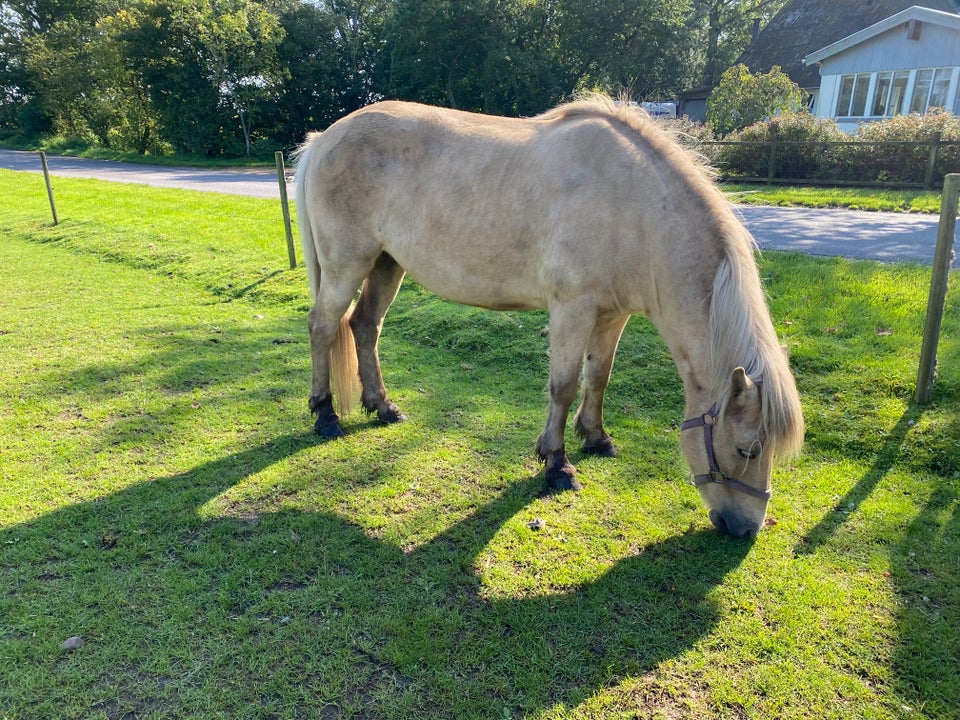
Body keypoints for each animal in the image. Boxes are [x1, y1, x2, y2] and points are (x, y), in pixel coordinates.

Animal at [296, 95, 808, 536]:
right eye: (746, 449)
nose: (746, 529)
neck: (633, 208)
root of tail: (324, 138)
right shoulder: (572, 309)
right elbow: (562, 386)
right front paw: (557, 464)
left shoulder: (611, 315)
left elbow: (598, 376)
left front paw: (596, 437)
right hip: (347, 265)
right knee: (323, 327)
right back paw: (325, 415)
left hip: (387, 264)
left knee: (365, 326)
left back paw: (382, 406)